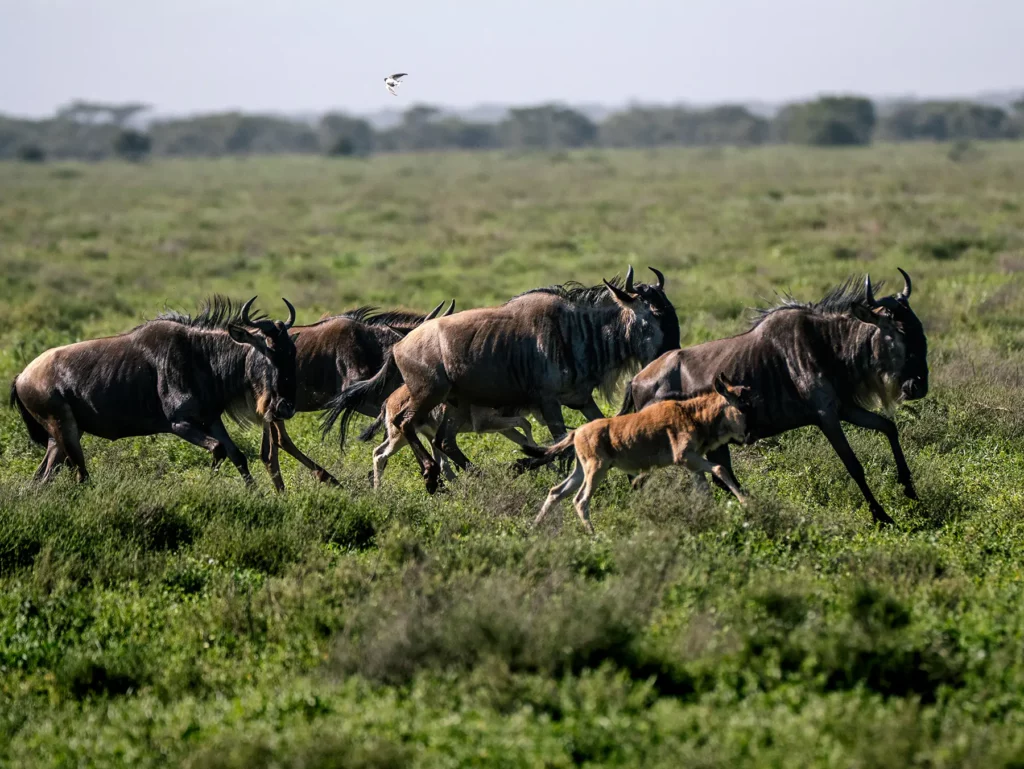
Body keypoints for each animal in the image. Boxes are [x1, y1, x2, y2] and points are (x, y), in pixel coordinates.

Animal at [10, 296, 297, 486]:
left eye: (292, 351)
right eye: (270, 350)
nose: (286, 407)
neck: (201, 357)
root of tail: (22, 376)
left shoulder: (211, 419)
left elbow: (237, 455)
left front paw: (256, 495)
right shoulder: (179, 423)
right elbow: (218, 450)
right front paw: (208, 485)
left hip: (62, 436)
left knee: (42, 478)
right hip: (64, 429)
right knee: (80, 475)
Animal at [322, 265, 680, 493]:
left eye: (672, 312)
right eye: (652, 316)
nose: (671, 357)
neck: (577, 330)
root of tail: (399, 344)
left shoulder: (580, 399)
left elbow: (596, 430)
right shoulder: (548, 401)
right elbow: (560, 442)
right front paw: (526, 466)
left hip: (454, 403)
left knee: (443, 441)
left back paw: (473, 476)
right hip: (429, 394)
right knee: (407, 424)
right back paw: (431, 476)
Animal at [522, 374, 755, 534]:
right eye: (742, 406)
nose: (749, 436)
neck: (693, 414)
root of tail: (577, 432)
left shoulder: (692, 462)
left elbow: (705, 486)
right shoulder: (685, 457)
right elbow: (720, 468)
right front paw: (745, 502)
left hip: (582, 470)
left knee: (556, 492)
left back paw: (533, 529)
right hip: (596, 469)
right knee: (580, 500)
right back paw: (594, 536)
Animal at [618, 269, 927, 525]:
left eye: (919, 329)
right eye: (898, 332)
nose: (919, 387)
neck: (826, 343)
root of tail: (636, 380)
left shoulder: (844, 408)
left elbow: (889, 427)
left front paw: (909, 489)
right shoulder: (826, 416)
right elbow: (854, 464)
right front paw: (881, 515)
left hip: (713, 442)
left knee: (719, 475)